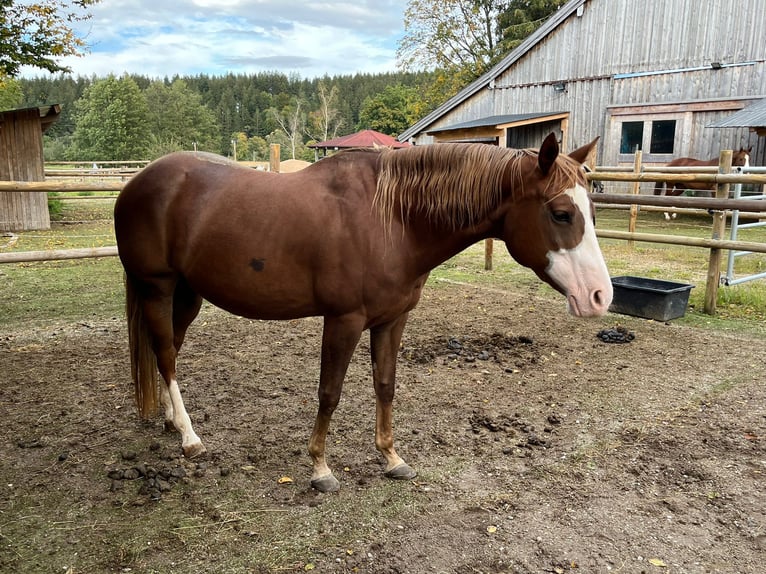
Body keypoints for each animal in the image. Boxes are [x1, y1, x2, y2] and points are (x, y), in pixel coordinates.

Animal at [114, 134, 616, 496]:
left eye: (592, 209)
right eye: (561, 213)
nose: (599, 296)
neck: (392, 220)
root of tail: (136, 183)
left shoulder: (392, 320)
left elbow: (386, 385)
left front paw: (391, 459)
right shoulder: (345, 320)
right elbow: (329, 393)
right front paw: (320, 468)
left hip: (187, 293)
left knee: (167, 348)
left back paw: (170, 420)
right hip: (157, 287)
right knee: (166, 354)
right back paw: (189, 438)